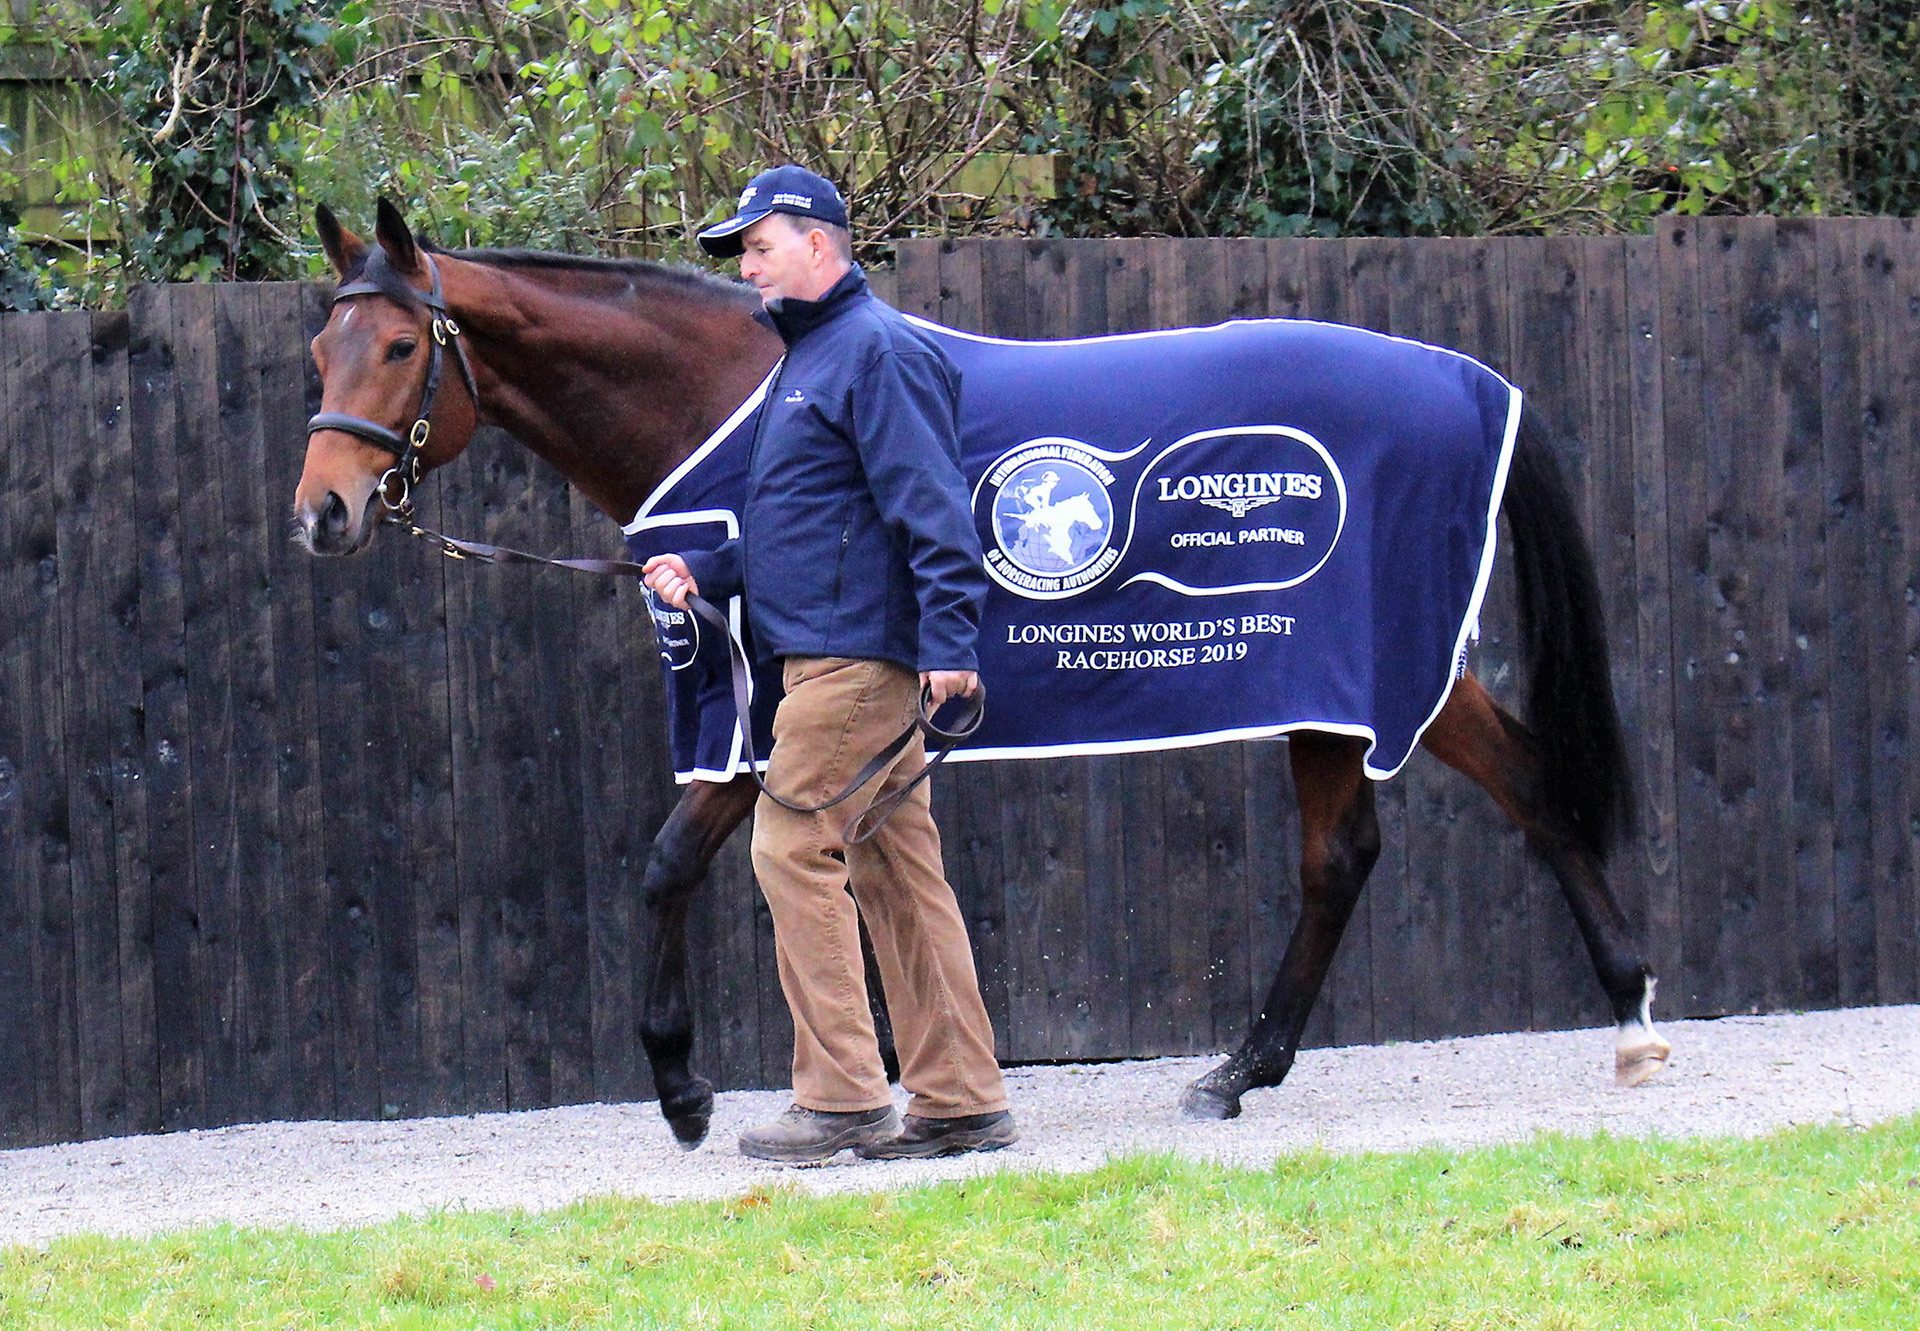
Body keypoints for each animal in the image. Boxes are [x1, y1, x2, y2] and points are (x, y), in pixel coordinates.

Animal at [291, 202, 1674, 1144]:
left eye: (403, 346)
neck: (749, 395)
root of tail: (1470, 381)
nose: (324, 512)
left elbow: (673, 863)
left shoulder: (775, 712)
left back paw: (1604, 1020)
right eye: (321, 349)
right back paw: (1267, 1065)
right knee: (1405, 834)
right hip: (1338, 689)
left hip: (1366, 670)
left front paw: (683, 1083)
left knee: (1471, 809)